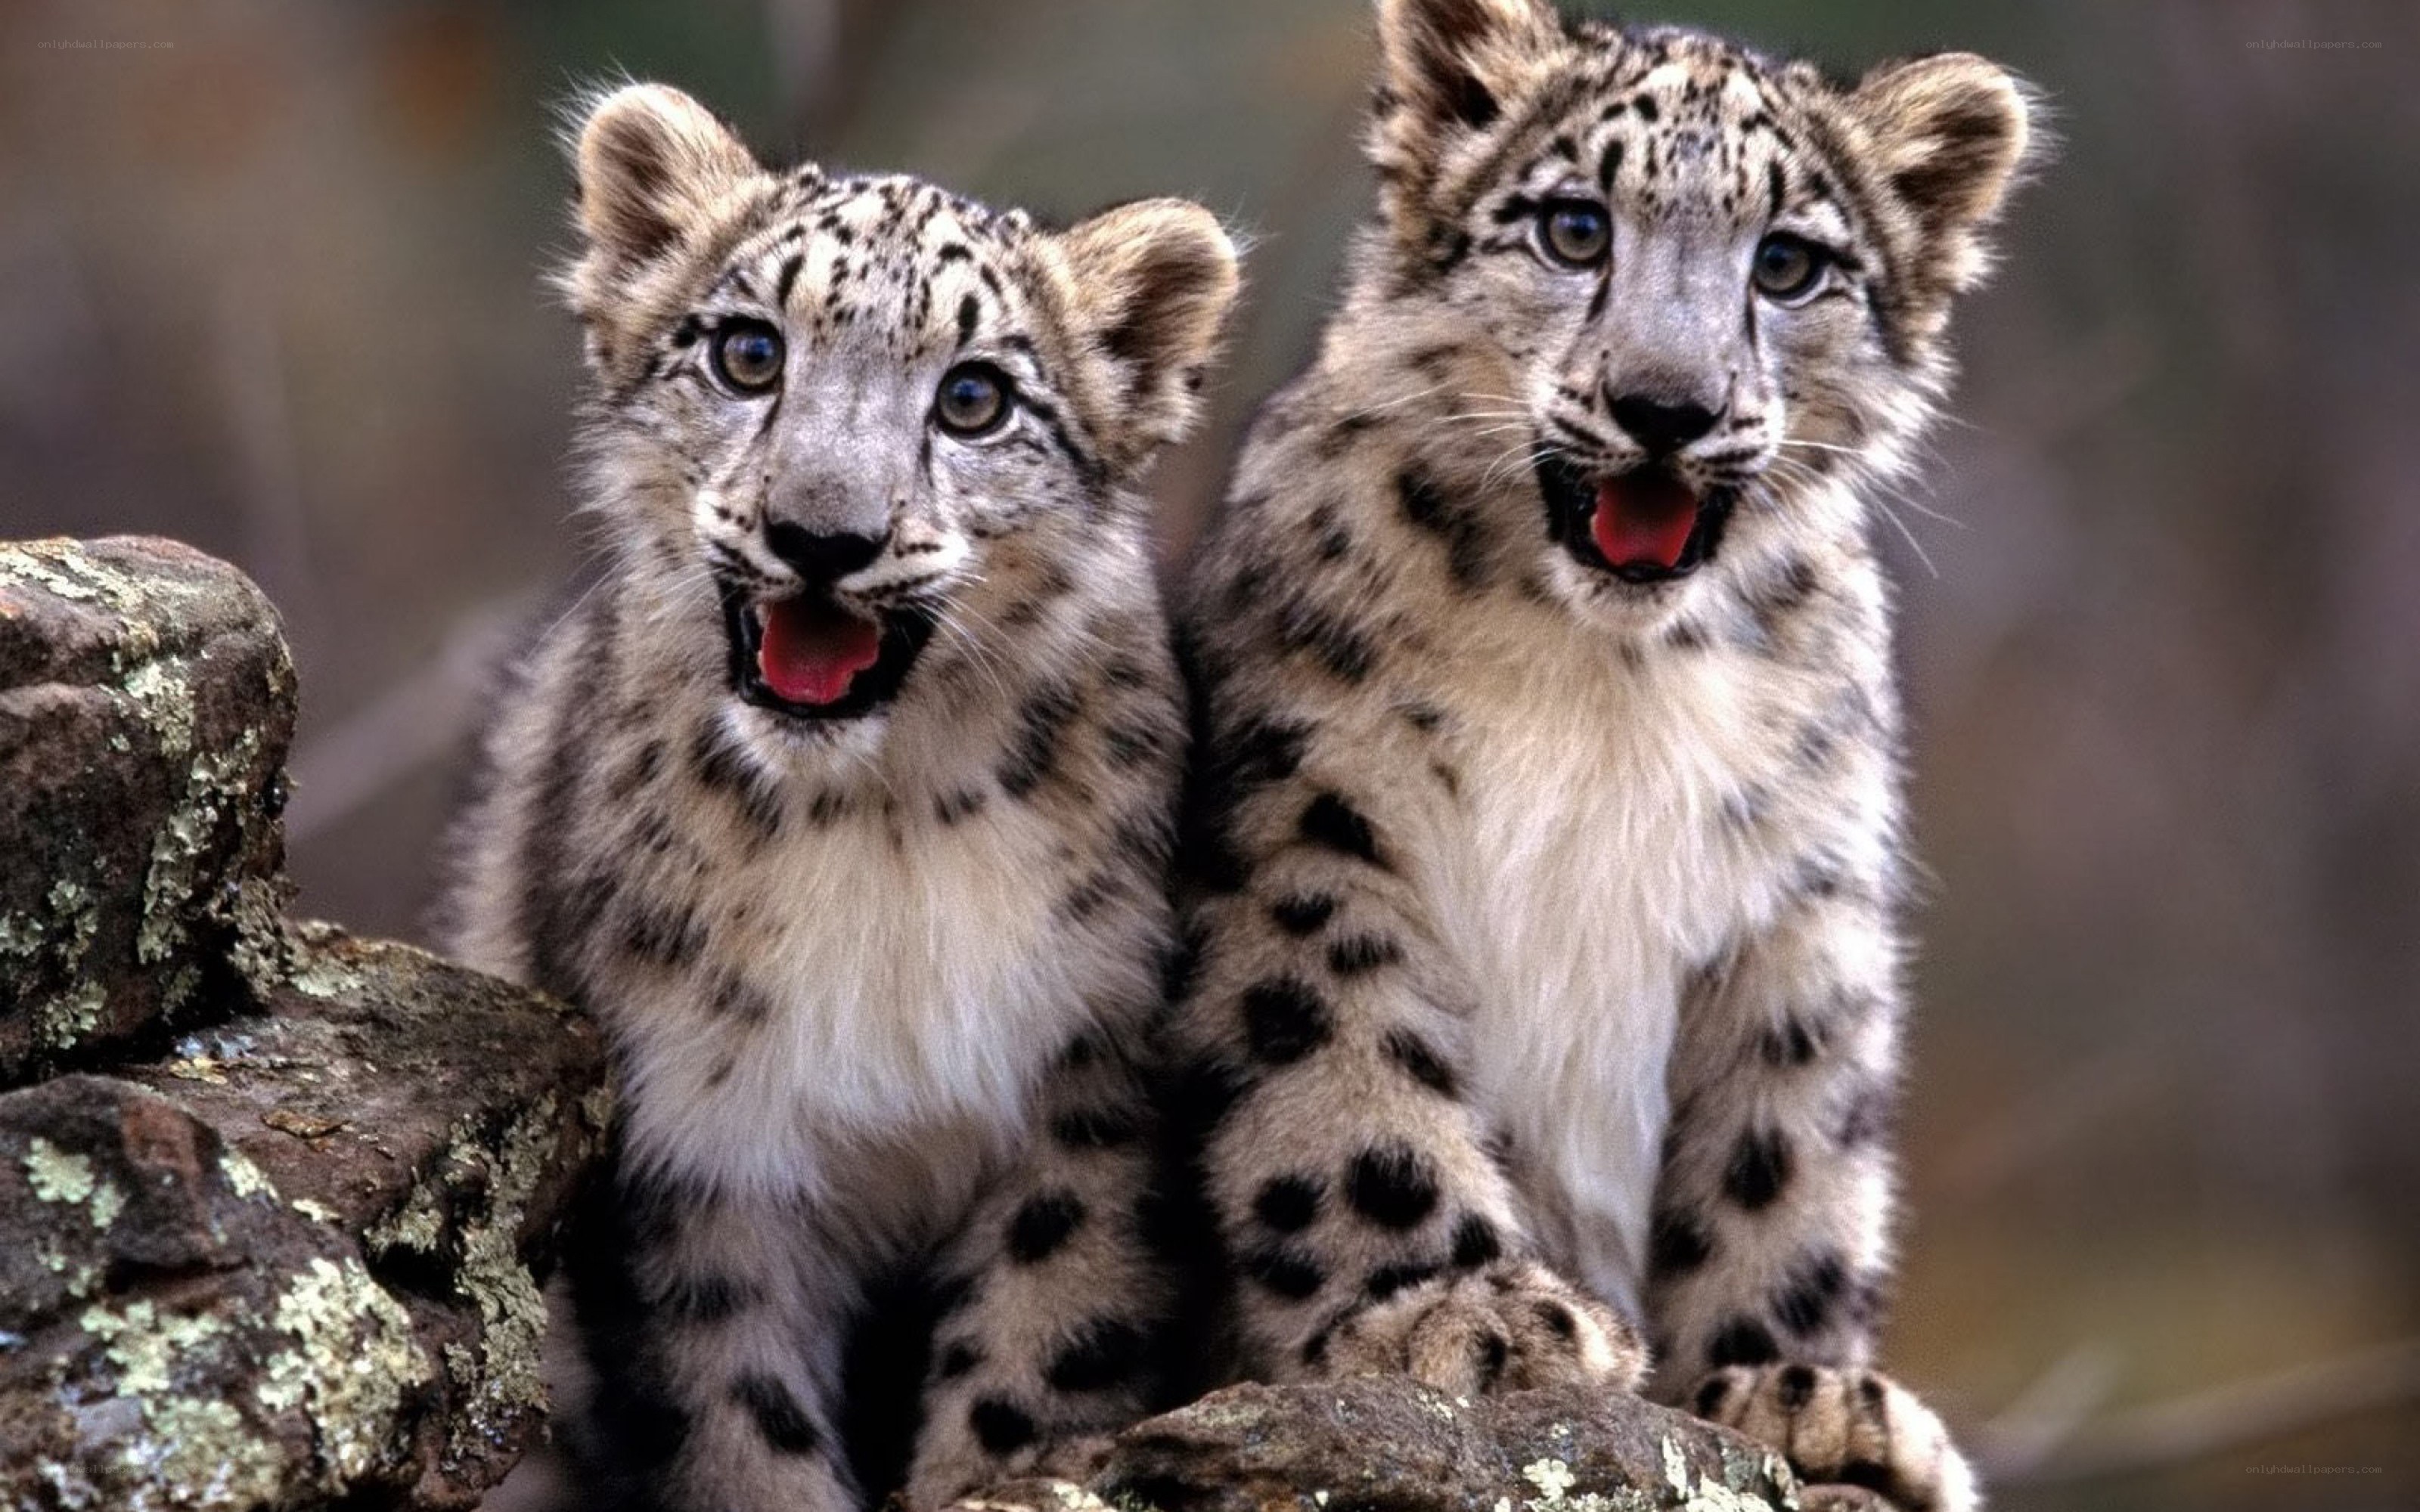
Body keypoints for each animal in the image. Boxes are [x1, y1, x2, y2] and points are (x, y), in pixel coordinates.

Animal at [436, 83, 1238, 1512]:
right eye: (750, 352)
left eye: (975, 398)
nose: (821, 536)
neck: (881, 830)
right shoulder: (695, 1140)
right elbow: (737, 1423)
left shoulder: (1085, 1092)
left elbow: (1035, 1359)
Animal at [1164, 4, 2039, 1509]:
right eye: (1576, 228)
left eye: (1789, 262)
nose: (1665, 406)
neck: (1607, 678)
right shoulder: (1308, 816)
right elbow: (1341, 1065)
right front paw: (1458, 1315)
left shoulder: (1800, 894)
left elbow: (1784, 1148)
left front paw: (1800, 1391)